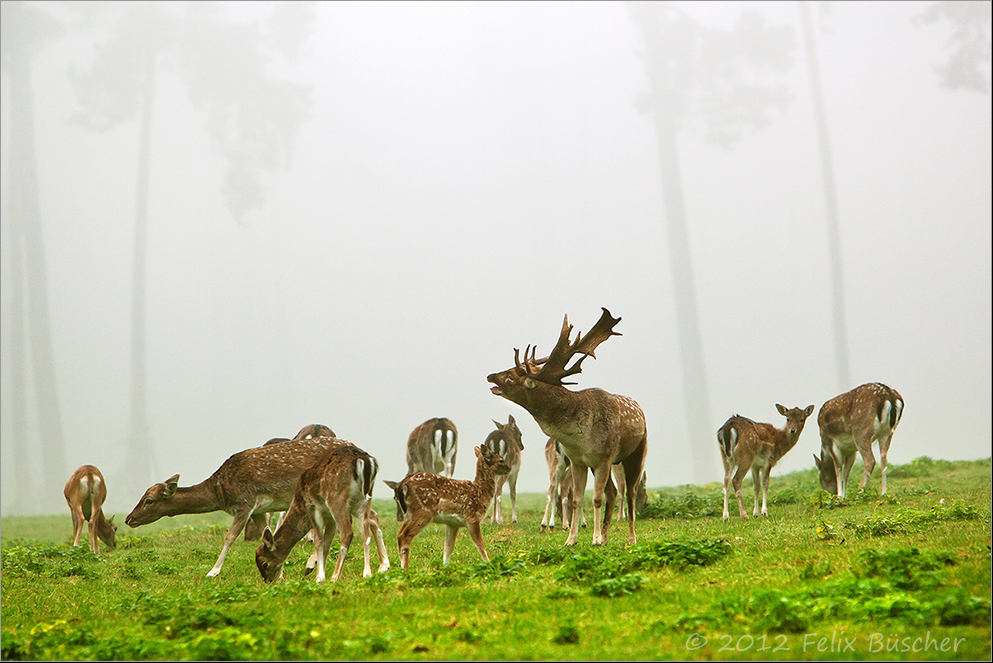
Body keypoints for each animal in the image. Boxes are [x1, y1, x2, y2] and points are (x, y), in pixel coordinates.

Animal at [125, 436, 348, 576]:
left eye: (149, 500)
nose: (129, 519)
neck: (220, 492)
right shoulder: (258, 510)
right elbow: (266, 534)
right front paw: (279, 572)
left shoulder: (244, 504)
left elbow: (229, 537)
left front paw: (213, 572)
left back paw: (312, 564)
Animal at [254, 444, 390, 584]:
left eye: (264, 563)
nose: (267, 581)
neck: (300, 503)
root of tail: (363, 460)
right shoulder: (330, 519)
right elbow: (326, 543)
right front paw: (318, 570)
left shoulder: (314, 508)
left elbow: (319, 541)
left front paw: (319, 577)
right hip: (362, 500)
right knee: (367, 527)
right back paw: (373, 570)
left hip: (337, 499)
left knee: (348, 533)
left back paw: (335, 576)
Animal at [384, 446, 512, 572]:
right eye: (501, 460)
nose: (509, 468)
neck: (480, 493)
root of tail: (401, 486)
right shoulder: (472, 517)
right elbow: (480, 544)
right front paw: (489, 563)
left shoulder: (452, 523)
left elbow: (448, 547)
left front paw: (445, 567)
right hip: (423, 512)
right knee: (404, 536)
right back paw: (405, 569)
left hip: (409, 514)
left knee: (400, 534)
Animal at [486, 308, 644, 548]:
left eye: (511, 376)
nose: (490, 376)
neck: (577, 436)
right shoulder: (579, 461)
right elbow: (577, 499)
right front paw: (571, 539)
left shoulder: (603, 458)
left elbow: (595, 498)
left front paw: (594, 539)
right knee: (612, 491)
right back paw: (606, 536)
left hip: (636, 453)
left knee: (630, 492)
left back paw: (630, 538)